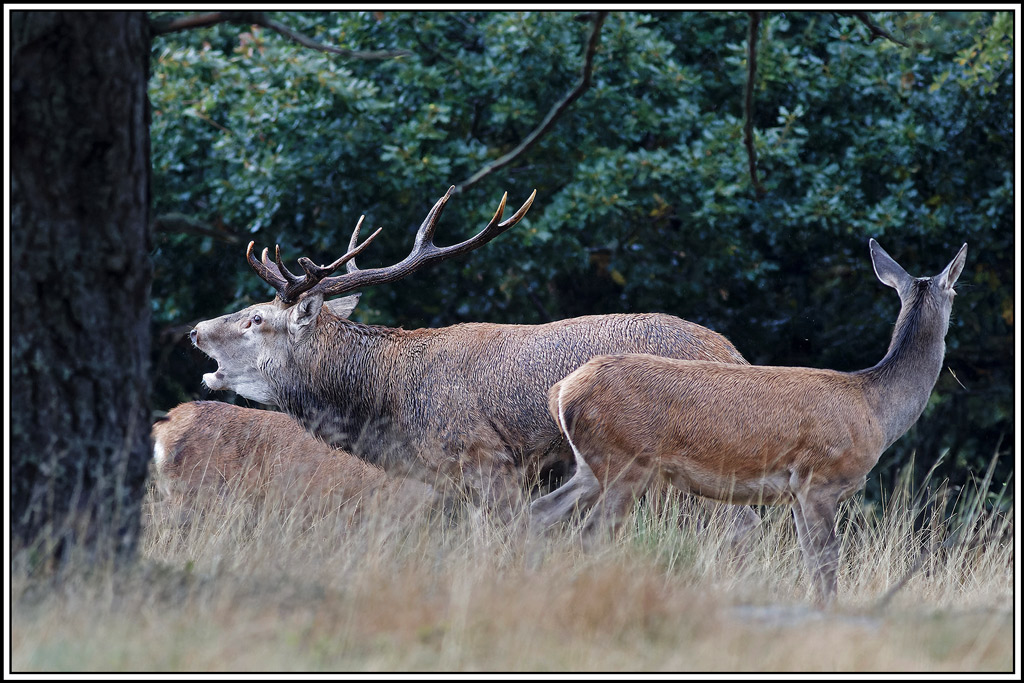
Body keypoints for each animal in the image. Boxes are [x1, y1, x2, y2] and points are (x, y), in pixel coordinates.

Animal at [530, 238, 967, 605]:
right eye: (956, 290)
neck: (875, 408)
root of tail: (563, 391)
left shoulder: (797, 492)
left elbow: (811, 561)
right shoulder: (820, 480)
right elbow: (826, 563)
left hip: (592, 465)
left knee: (541, 510)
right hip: (625, 461)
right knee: (592, 534)